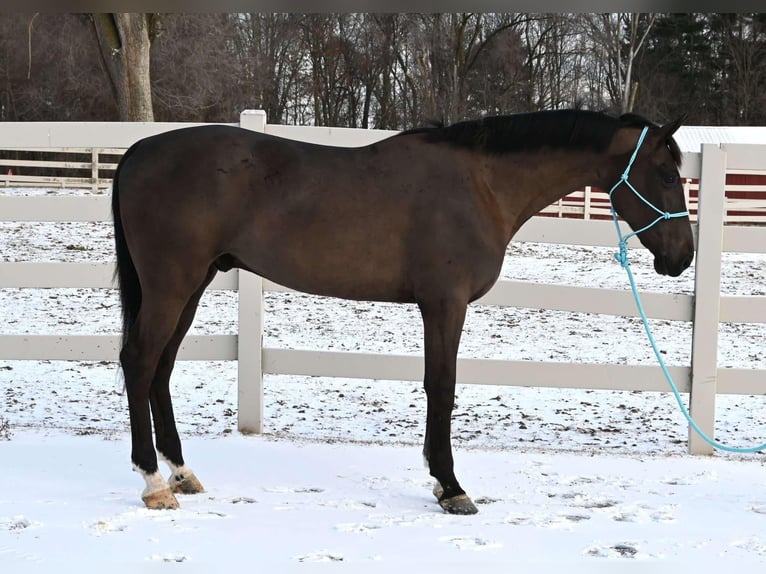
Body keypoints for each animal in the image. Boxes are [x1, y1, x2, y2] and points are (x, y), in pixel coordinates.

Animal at [112, 109, 694, 514]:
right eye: (668, 176)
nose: (682, 257)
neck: (482, 186)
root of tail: (139, 150)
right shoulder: (444, 304)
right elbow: (442, 386)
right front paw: (451, 486)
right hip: (171, 286)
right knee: (140, 362)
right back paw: (154, 483)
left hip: (192, 286)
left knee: (161, 368)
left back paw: (182, 473)